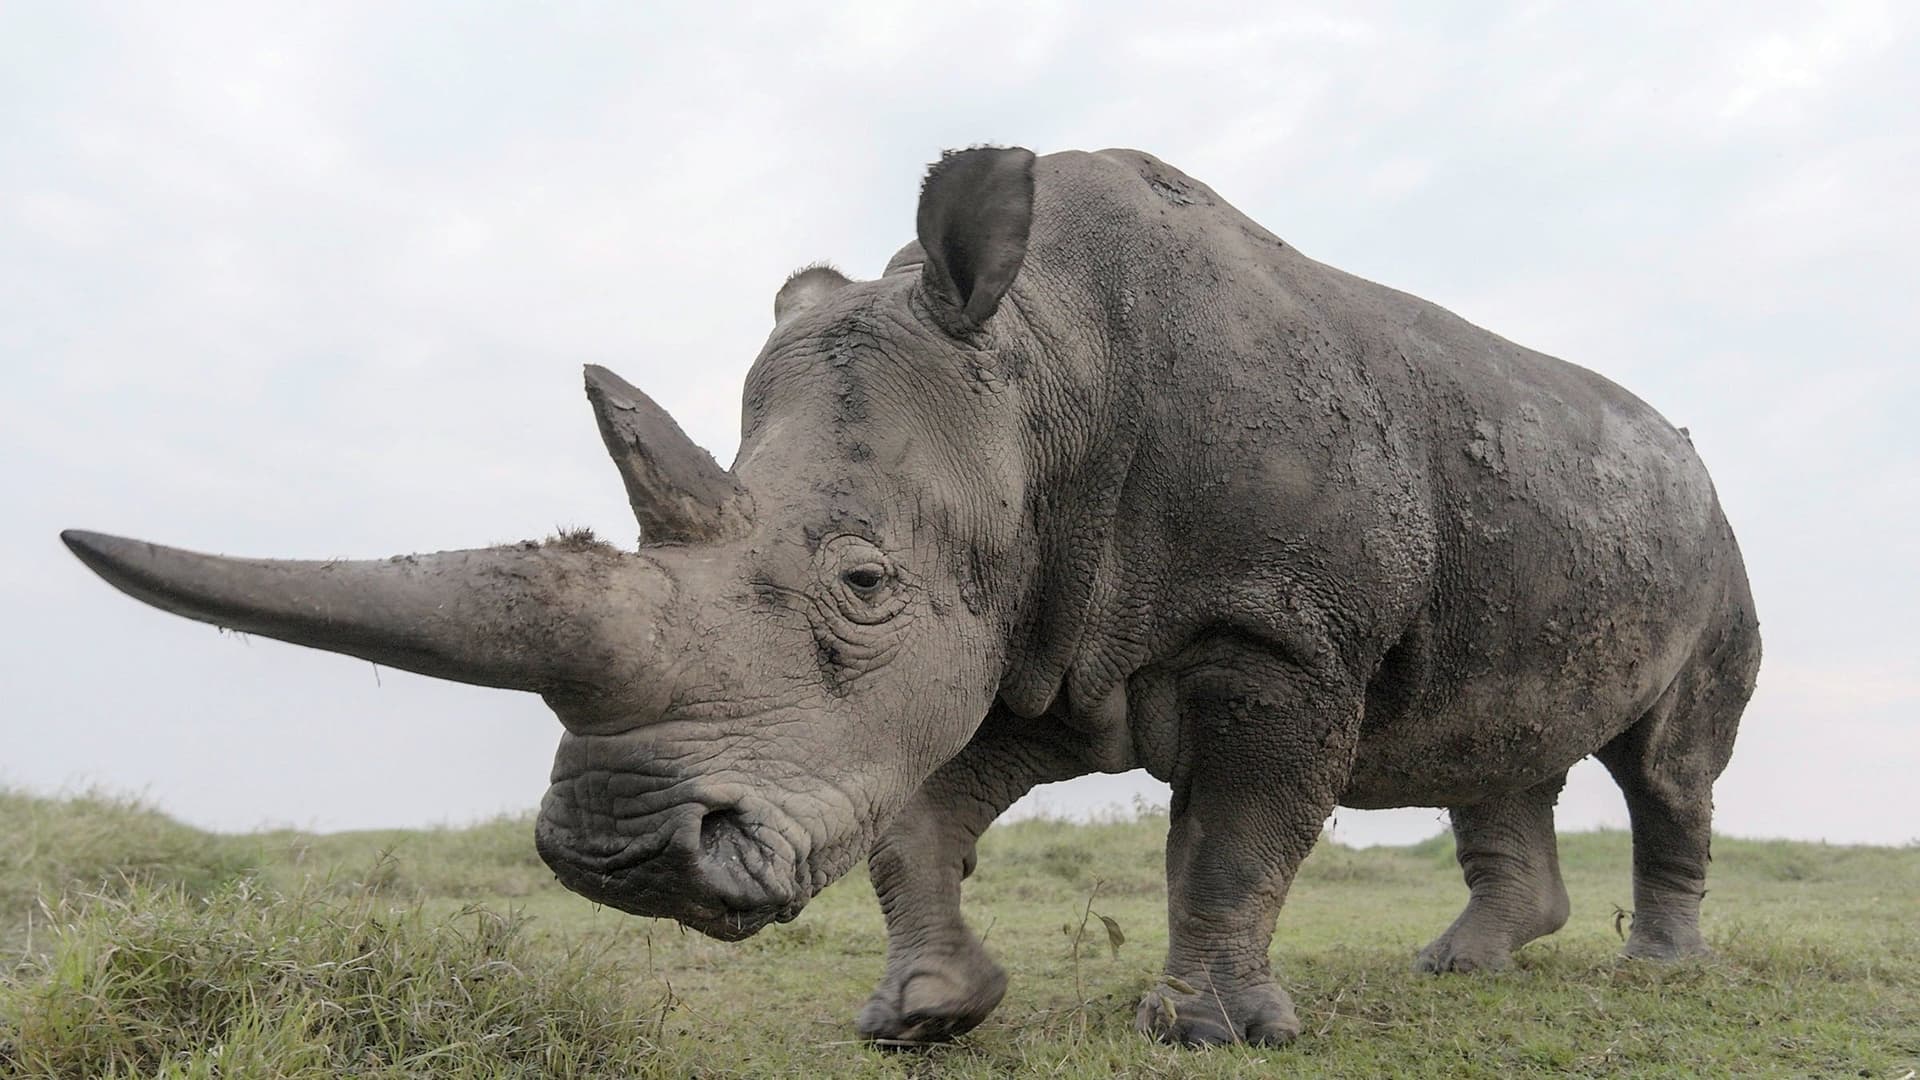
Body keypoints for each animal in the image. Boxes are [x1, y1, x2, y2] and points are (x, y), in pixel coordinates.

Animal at [62, 146, 1761, 1048]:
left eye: (861, 579)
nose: (621, 860)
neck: (1041, 365)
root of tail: (1691, 462)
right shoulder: (1027, 631)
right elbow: (915, 820)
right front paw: (929, 1012)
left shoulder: (1269, 627)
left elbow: (1233, 837)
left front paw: (1214, 1033)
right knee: (1499, 742)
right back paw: (1469, 964)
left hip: (1714, 540)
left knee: (1667, 764)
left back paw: (1659, 973)